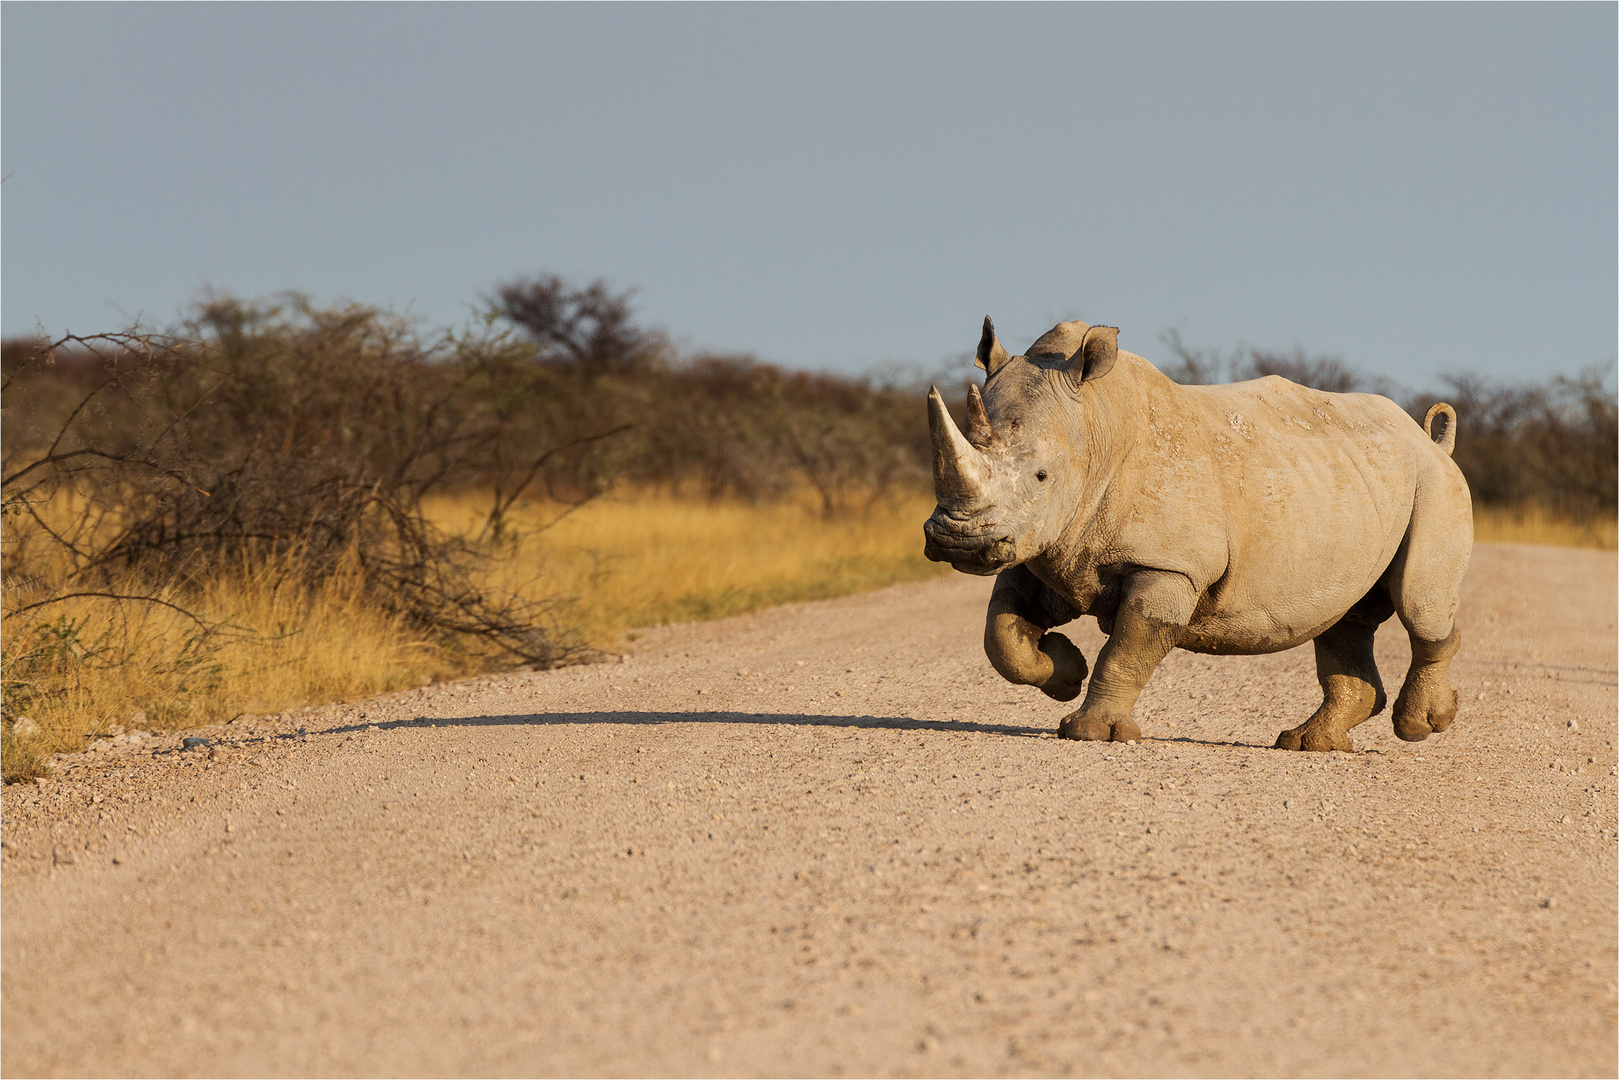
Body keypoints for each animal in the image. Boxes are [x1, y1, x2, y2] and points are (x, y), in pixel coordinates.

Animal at [919, 318, 1476, 751]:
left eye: (1041, 476)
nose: (956, 542)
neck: (1094, 425)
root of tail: (1430, 441)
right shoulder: (1051, 544)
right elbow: (1001, 636)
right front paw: (1064, 671)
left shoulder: (1170, 565)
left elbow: (1129, 646)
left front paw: (1090, 732)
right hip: (1354, 487)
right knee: (1345, 619)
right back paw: (1309, 743)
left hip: (1436, 487)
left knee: (1418, 605)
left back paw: (1421, 725)